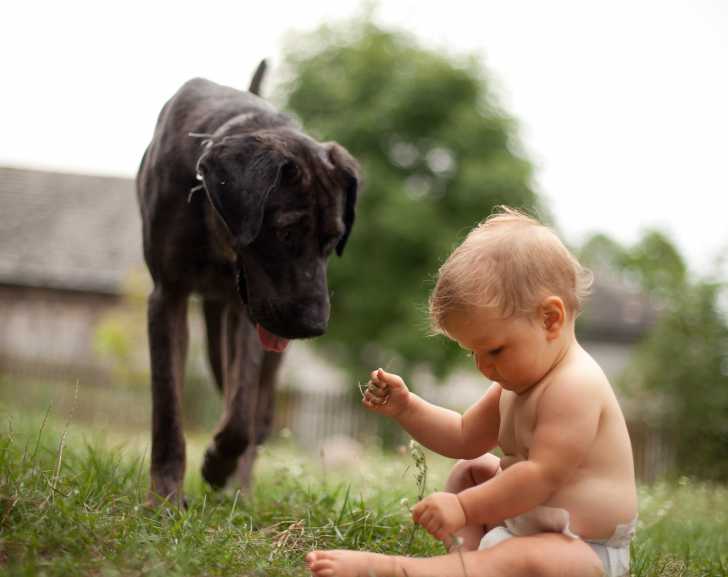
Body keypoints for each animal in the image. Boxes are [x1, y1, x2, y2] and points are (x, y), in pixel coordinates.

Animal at [136, 60, 358, 504]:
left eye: (332, 239)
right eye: (286, 232)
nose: (313, 327)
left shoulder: (248, 312)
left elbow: (241, 414)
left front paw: (218, 465)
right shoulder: (167, 294)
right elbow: (168, 406)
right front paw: (165, 497)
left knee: (257, 416)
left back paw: (241, 489)